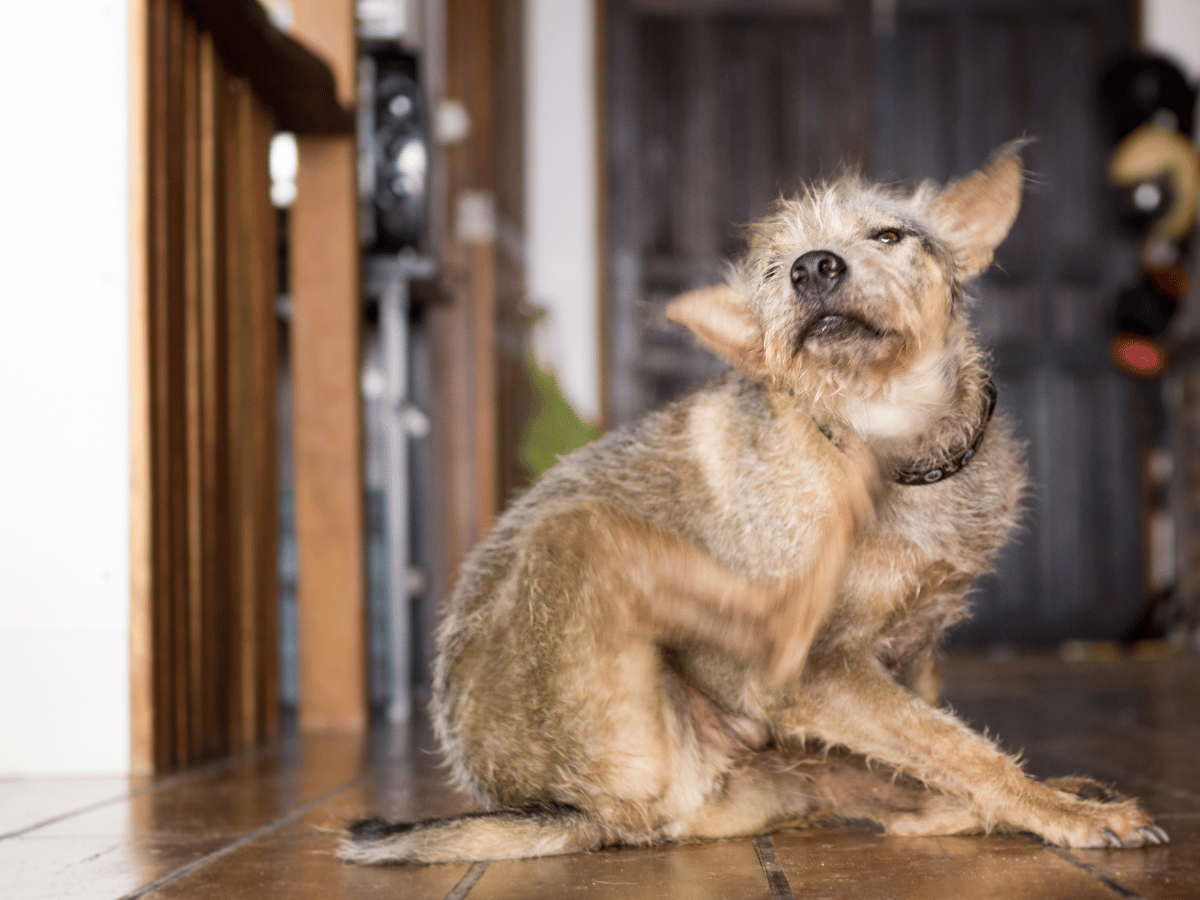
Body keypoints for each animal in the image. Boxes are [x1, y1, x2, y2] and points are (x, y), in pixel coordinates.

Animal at [343, 142, 1166, 868]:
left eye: (888, 235)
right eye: (774, 268)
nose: (813, 267)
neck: (893, 442)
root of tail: (573, 811)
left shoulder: (916, 653)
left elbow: (940, 741)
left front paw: (1044, 799)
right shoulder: (829, 674)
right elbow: (950, 744)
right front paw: (1061, 814)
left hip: (791, 765)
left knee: (910, 805)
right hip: (584, 548)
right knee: (776, 645)